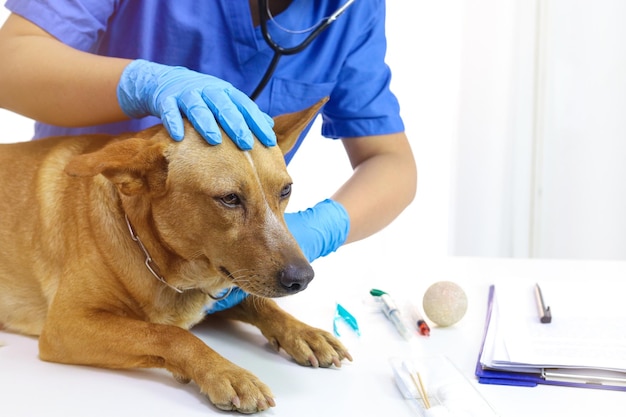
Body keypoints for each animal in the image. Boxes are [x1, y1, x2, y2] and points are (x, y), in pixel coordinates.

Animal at [0, 100, 352, 412]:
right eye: (229, 198)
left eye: (285, 190)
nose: (302, 278)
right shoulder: (66, 325)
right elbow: (170, 334)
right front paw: (225, 372)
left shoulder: (225, 287)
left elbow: (260, 303)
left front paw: (304, 332)